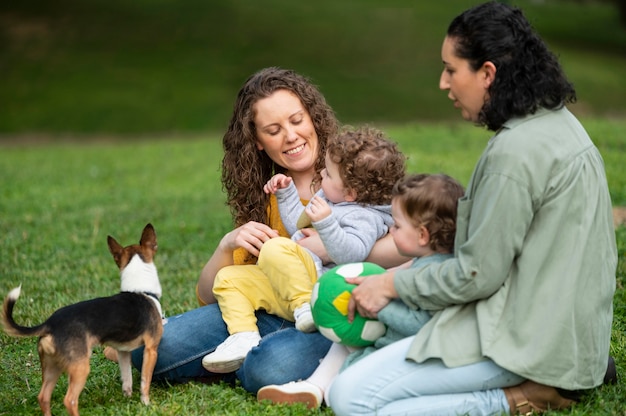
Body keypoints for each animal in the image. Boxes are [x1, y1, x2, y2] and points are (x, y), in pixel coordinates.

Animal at [0, 224, 165, 416]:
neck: (140, 290)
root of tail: (50, 324)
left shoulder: (123, 352)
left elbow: (127, 379)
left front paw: (127, 400)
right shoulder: (151, 350)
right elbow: (145, 381)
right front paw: (146, 404)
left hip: (52, 366)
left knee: (43, 396)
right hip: (80, 368)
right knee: (70, 400)